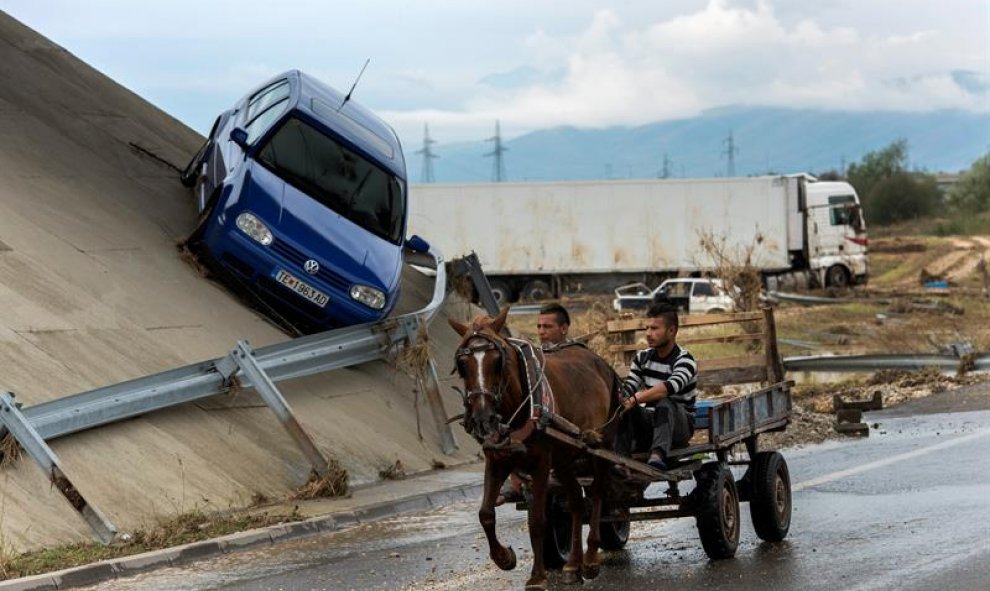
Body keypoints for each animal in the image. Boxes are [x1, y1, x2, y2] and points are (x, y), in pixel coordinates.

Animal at [452, 308, 624, 588]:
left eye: (498, 361)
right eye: (462, 364)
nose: (483, 418)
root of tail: (602, 363)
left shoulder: (541, 462)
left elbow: (537, 521)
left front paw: (537, 576)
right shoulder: (497, 459)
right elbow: (485, 513)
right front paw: (504, 557)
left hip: (601, 444)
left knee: (598, 494)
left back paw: (590, 559)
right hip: (563, 457)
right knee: (576, 500)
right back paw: (573, 564)